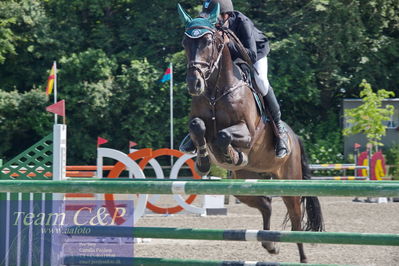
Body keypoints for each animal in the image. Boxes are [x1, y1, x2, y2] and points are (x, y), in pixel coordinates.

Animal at [178, 4, 324, 264]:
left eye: (208, 41)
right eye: (185, 42)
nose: (194, 84)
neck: (216, 91)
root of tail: (296, 139)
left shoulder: (248, 133)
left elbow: (223, 136)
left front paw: (229, 154)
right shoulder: (198, 121)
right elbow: (198, 127)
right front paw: (205, 161)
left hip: (288, 180)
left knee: (296, 218)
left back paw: (303, 257)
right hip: (243, 182)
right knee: (265, 204)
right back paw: (270, 245)